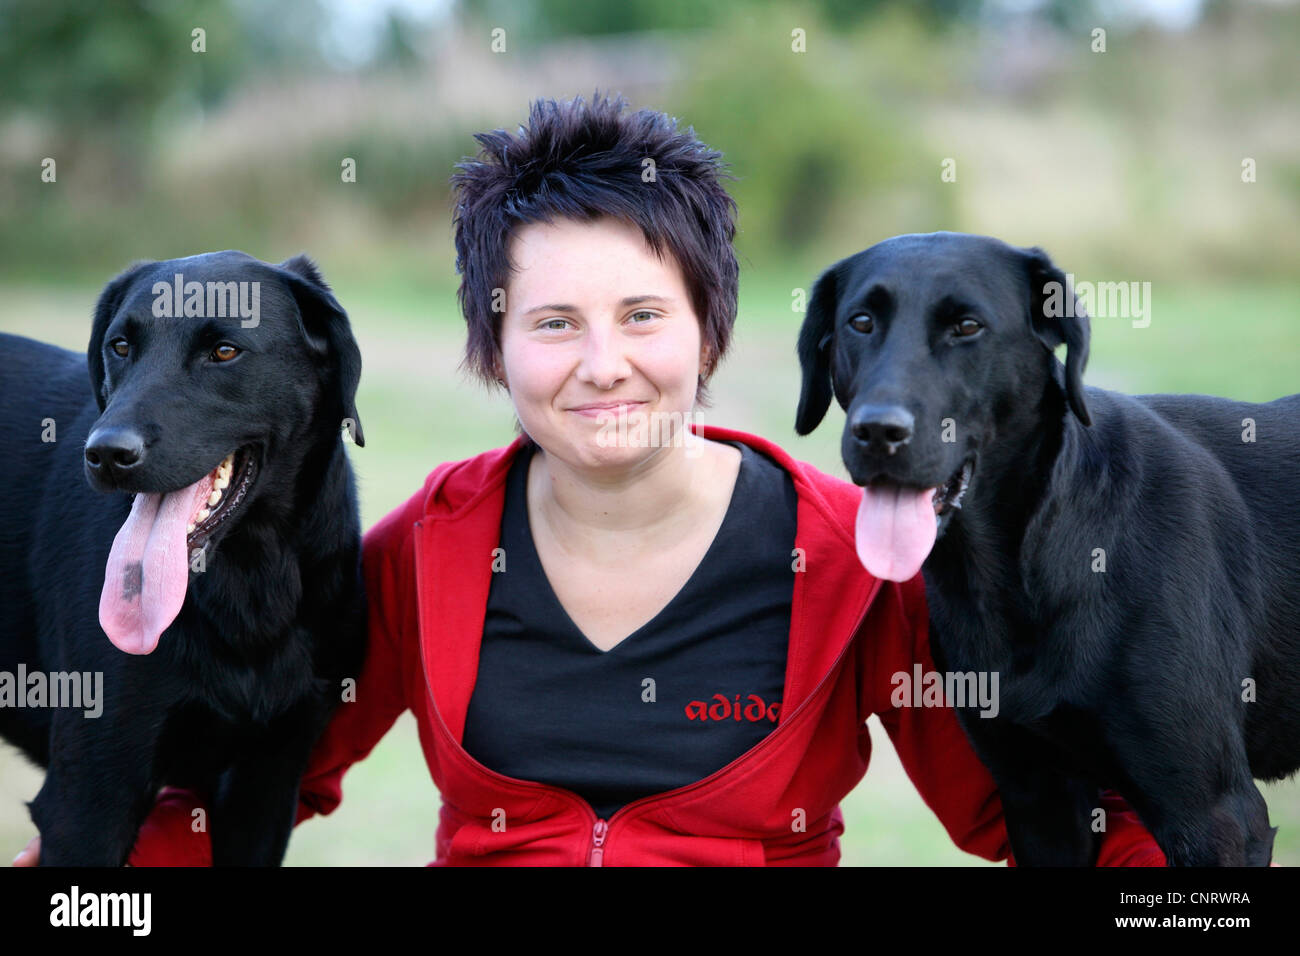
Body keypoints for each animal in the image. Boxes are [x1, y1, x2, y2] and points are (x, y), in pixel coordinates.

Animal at [1, 251, 366, 863]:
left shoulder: (267, 783)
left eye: (224, 351)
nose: (106, 453)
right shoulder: (89, 801)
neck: (250, 581)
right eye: (121, 346)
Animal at [790, 230, 1300, 868]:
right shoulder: (1037, 798)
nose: (877, 431)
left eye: (967, 326)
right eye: (860, 322)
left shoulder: (1214, 817)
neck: (1018, 569)